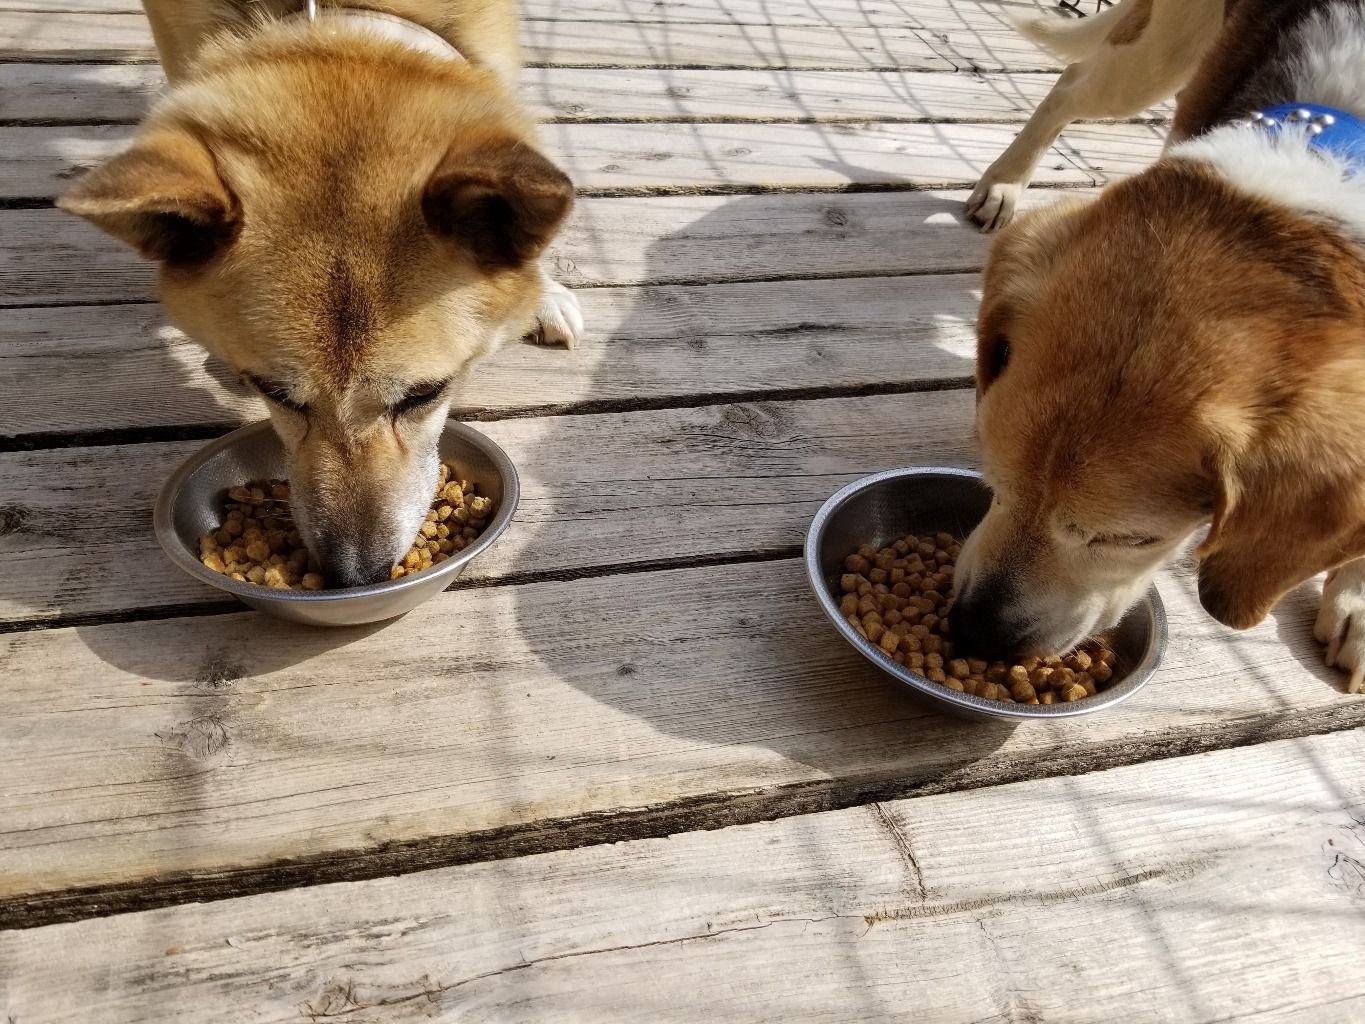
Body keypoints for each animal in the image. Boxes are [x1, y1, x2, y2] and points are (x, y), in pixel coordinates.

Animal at [952, 0, 1365, 692]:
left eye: (1130, 541)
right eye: (992, 480)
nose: (974, 633)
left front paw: (1357, 605)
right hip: (1155, 56)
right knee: (1072, 85)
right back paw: (1005, 182)